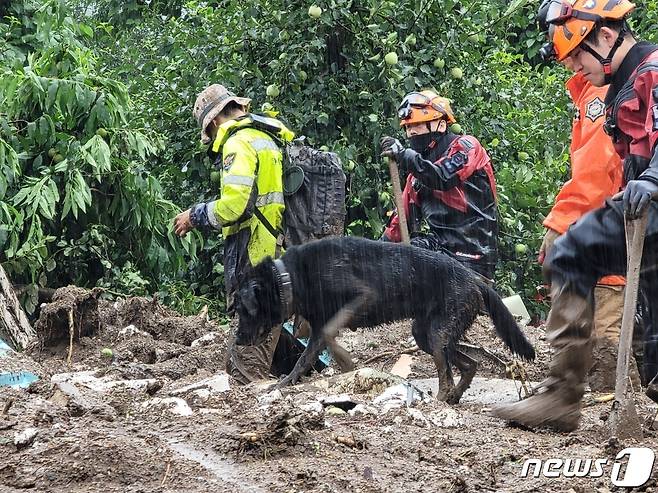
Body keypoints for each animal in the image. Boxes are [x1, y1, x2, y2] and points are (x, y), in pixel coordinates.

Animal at [236, 236, 532, 402]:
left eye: (242, 310)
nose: (237, 340)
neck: (289, 276)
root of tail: (476, 279)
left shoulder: (363, 296)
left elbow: (329, 335)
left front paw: (346, 362)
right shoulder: (319, 327)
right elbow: (306, 356)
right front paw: (284, 383)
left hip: (437, 335)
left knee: (447, 374)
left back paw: (440, 399)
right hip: (424, 334)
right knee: (470, 364)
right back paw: (454, 396)